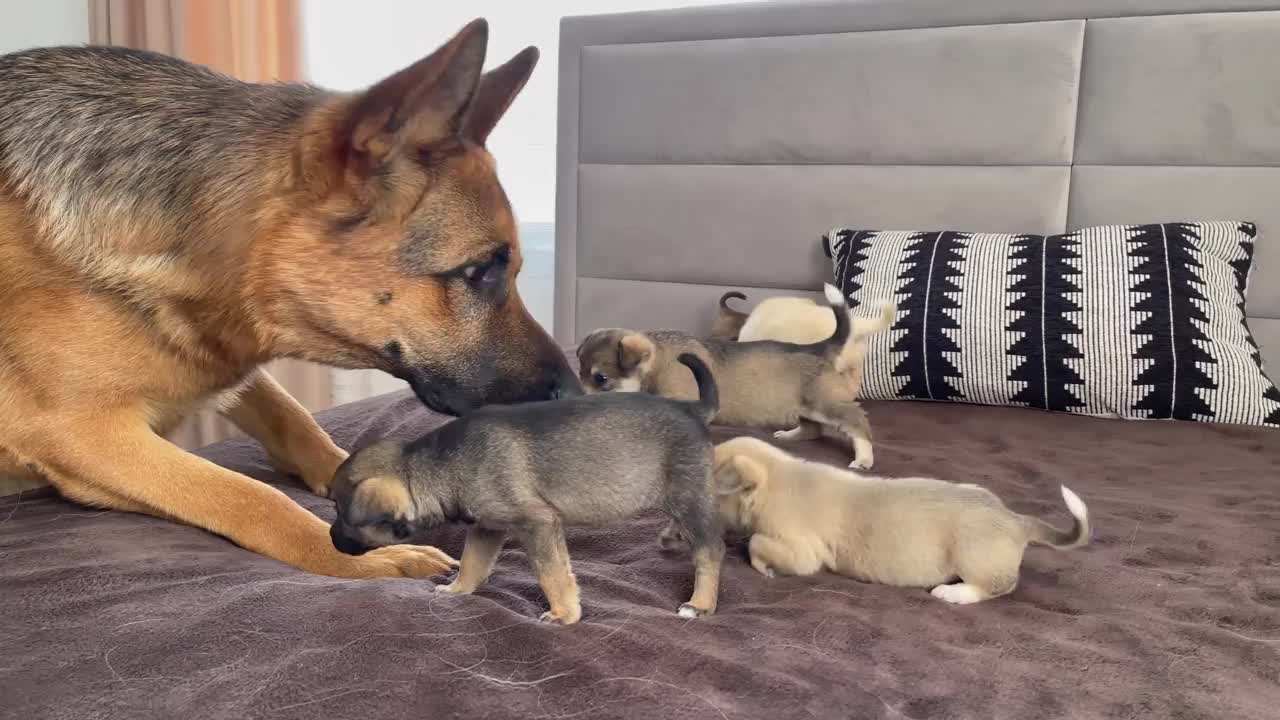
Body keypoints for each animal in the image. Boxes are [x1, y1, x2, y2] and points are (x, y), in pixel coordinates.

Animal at [0, 18, 576, 576]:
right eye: (477, 271)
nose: (575, 394)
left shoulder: (224, 365)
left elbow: (295, 420)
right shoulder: (84, 434)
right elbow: (248, 495)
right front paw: (360, 560)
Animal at [327, 353, 732, 622]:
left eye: (341, 511)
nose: (331, 539)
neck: (437, 466)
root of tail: (694, 409)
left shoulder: (538, 524)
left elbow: (552, 573)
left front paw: (564, 613)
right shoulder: (488, 527)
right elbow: (472, 562)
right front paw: (458, 590)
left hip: (688, 494)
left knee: (710, 552)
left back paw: (700, 603)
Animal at [581, 283, 890, 468]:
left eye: (601, 379)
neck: (656, 362)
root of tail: (821, 347)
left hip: (825, 404)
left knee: (857, 421)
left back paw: (864, 458)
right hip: (803, 406)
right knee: (812, 430)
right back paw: (790, 436)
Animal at [711, 435, 1090, 602]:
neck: (774, 478)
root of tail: (1015, 519)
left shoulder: (802, 552)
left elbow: (757, 542)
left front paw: (763, 567)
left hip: (974, 556)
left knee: (999, 586)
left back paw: (954, 593)